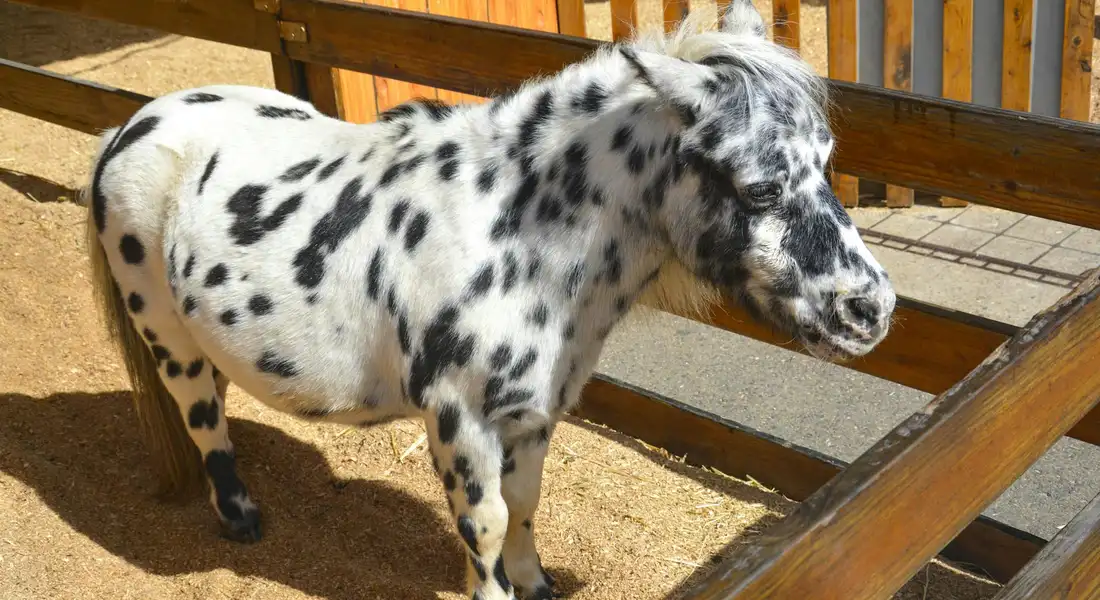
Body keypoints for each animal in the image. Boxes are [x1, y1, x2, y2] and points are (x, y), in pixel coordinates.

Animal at [82, 2, 896, 598]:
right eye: (759, 187)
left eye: (825, 161)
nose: (871, 311)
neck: (513, 238)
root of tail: (131, 125)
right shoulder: (460, 419)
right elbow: (487, 524)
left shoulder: (532, 414)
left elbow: (526, 506)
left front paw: (537, 586)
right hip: (165, 334)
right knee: (199, 414)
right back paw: (239, 516)